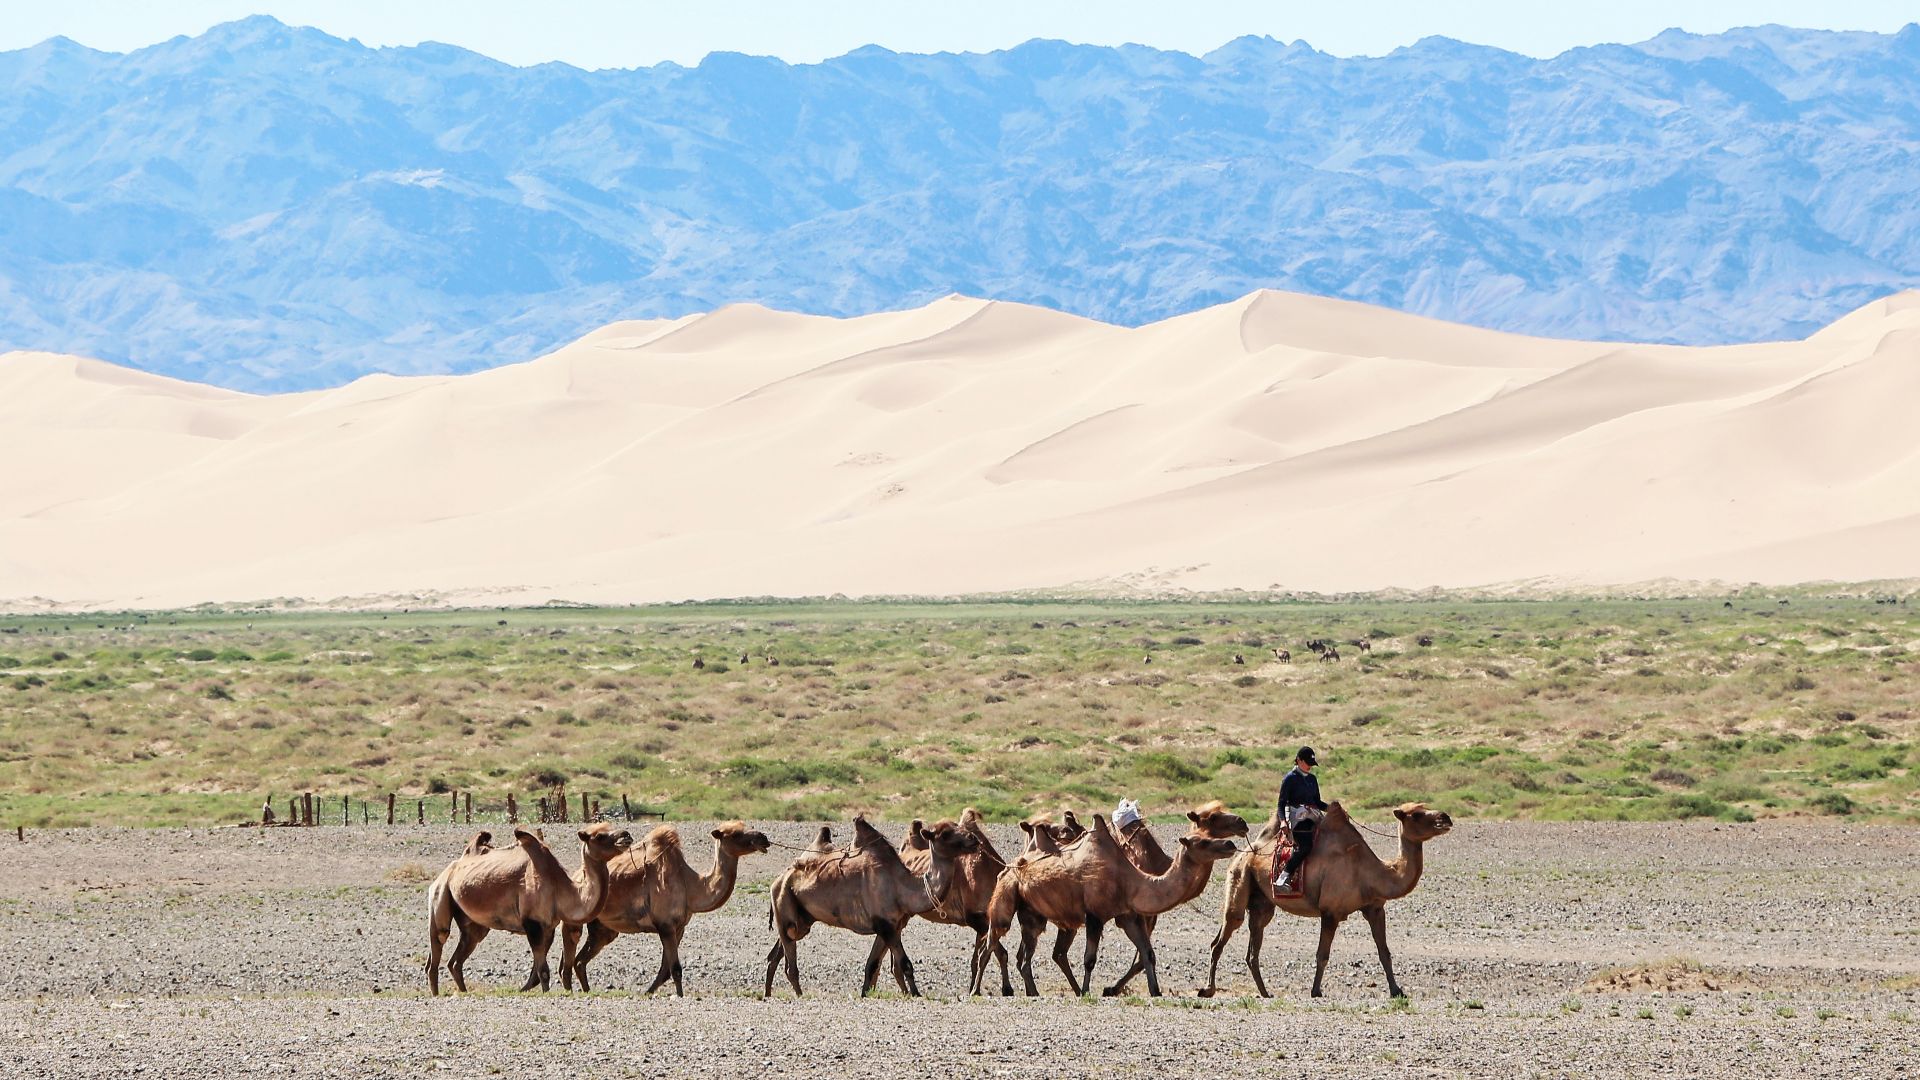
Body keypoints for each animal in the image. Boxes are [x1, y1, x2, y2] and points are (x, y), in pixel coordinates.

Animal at [425, 823, 633, 995]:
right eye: (599, 836)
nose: (626, 835)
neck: (559, 887)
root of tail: (450, 869)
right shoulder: (532, 924)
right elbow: (543, 971)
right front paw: (545, 994)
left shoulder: (548, 927)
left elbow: (536, 973)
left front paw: (524, 990)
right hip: (440, 893)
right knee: (439, 939)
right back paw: (436, 994)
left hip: (472, 922)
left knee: (459, 956)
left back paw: (463, 991)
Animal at [561, 821, 772, 995]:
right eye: (735, 834)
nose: (763, 837)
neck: (690, 886)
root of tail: (576, 877)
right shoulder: (666, 926)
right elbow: (675, 969)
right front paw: (678, 996)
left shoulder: (678, 928)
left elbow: (665, 970)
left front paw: (648, 993)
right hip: (577, 919)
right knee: (570, 958)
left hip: (602, 927)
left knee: (580, 960)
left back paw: (586, 990)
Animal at [763, 815, 980, 998]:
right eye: (945, 834)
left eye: (957, 825)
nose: (974, 839)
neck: (900, 887)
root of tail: (778, 879)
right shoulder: (885, 926)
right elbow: (905, 964)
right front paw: (916, 994)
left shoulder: (891, 926)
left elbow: (872, 965)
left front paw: (865, 994)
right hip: (785, 906)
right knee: (790, 962)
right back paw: (799, 995)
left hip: (802, 919)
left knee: (776, 954)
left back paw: (768, 994)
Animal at [981, 813, 1238, 997]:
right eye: (1202, 842)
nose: (1229, 844)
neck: (1130, 880)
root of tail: (1011, 865)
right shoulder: (1095, 915)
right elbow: (1089, 959)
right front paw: (1087, 991)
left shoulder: (1128, 916)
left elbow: (1148, 953)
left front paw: (1155, 991)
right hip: (1008, 896)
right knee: (998, 941)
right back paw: (988, 990)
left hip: (1033, 912)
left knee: (1028, 954)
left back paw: (1035, 992)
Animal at [1198, 801, 1452, 1000]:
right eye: (1416, 814)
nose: (1446, 817)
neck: (1370, 872)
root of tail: (1247, 852)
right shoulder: (1331, 911)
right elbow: (1322, 954)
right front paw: (1316, 991)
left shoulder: (1375, 908)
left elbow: (1384, 952)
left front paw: (1397, 990)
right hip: (1239, 878)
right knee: (1223, 935)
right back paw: (1208, 990)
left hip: (1262, 903)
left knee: (1254, 945)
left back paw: (1265, 992)